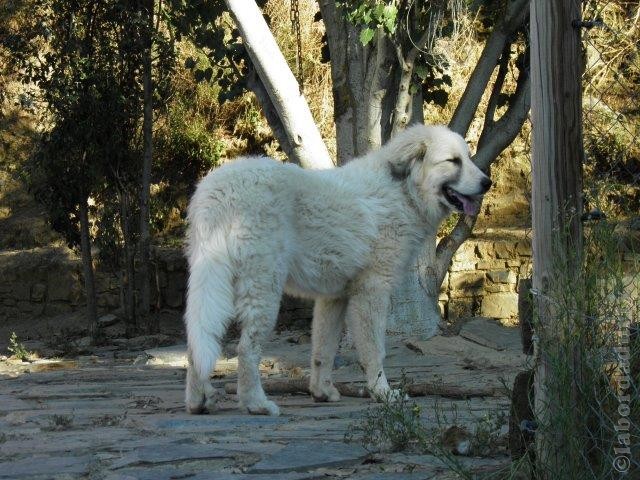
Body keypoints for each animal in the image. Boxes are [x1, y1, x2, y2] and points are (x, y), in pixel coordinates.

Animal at [182, 124, 492, 416]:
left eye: (467, 158)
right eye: (453, 161)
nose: (488, 182)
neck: (403, 191)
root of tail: (219, 188)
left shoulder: (334, 297)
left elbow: (324, 350)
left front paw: (321, 392)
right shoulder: (372, 291)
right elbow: (374, 351)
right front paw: (382, 393)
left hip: (210, 281)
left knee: (196, 342)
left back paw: (198, 402)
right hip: (263, 290)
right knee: (245, 349)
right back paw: (256, 404)